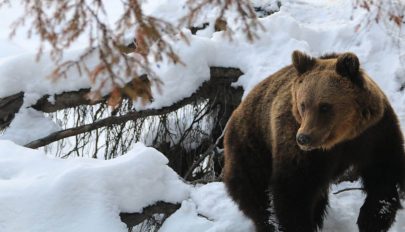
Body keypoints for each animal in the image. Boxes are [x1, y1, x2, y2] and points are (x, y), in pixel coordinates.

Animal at [223, 50, 404, 232]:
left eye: (324, 106)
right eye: (303, 105)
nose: (303, 138)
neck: (342, 139)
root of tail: (236, 111)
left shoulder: (374, 133)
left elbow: (382, 175)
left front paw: (372, 219)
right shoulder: (300, 150)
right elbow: (293, 191)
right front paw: (299, 225)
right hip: (252, 145)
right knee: (255, 193)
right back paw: (269, 223)